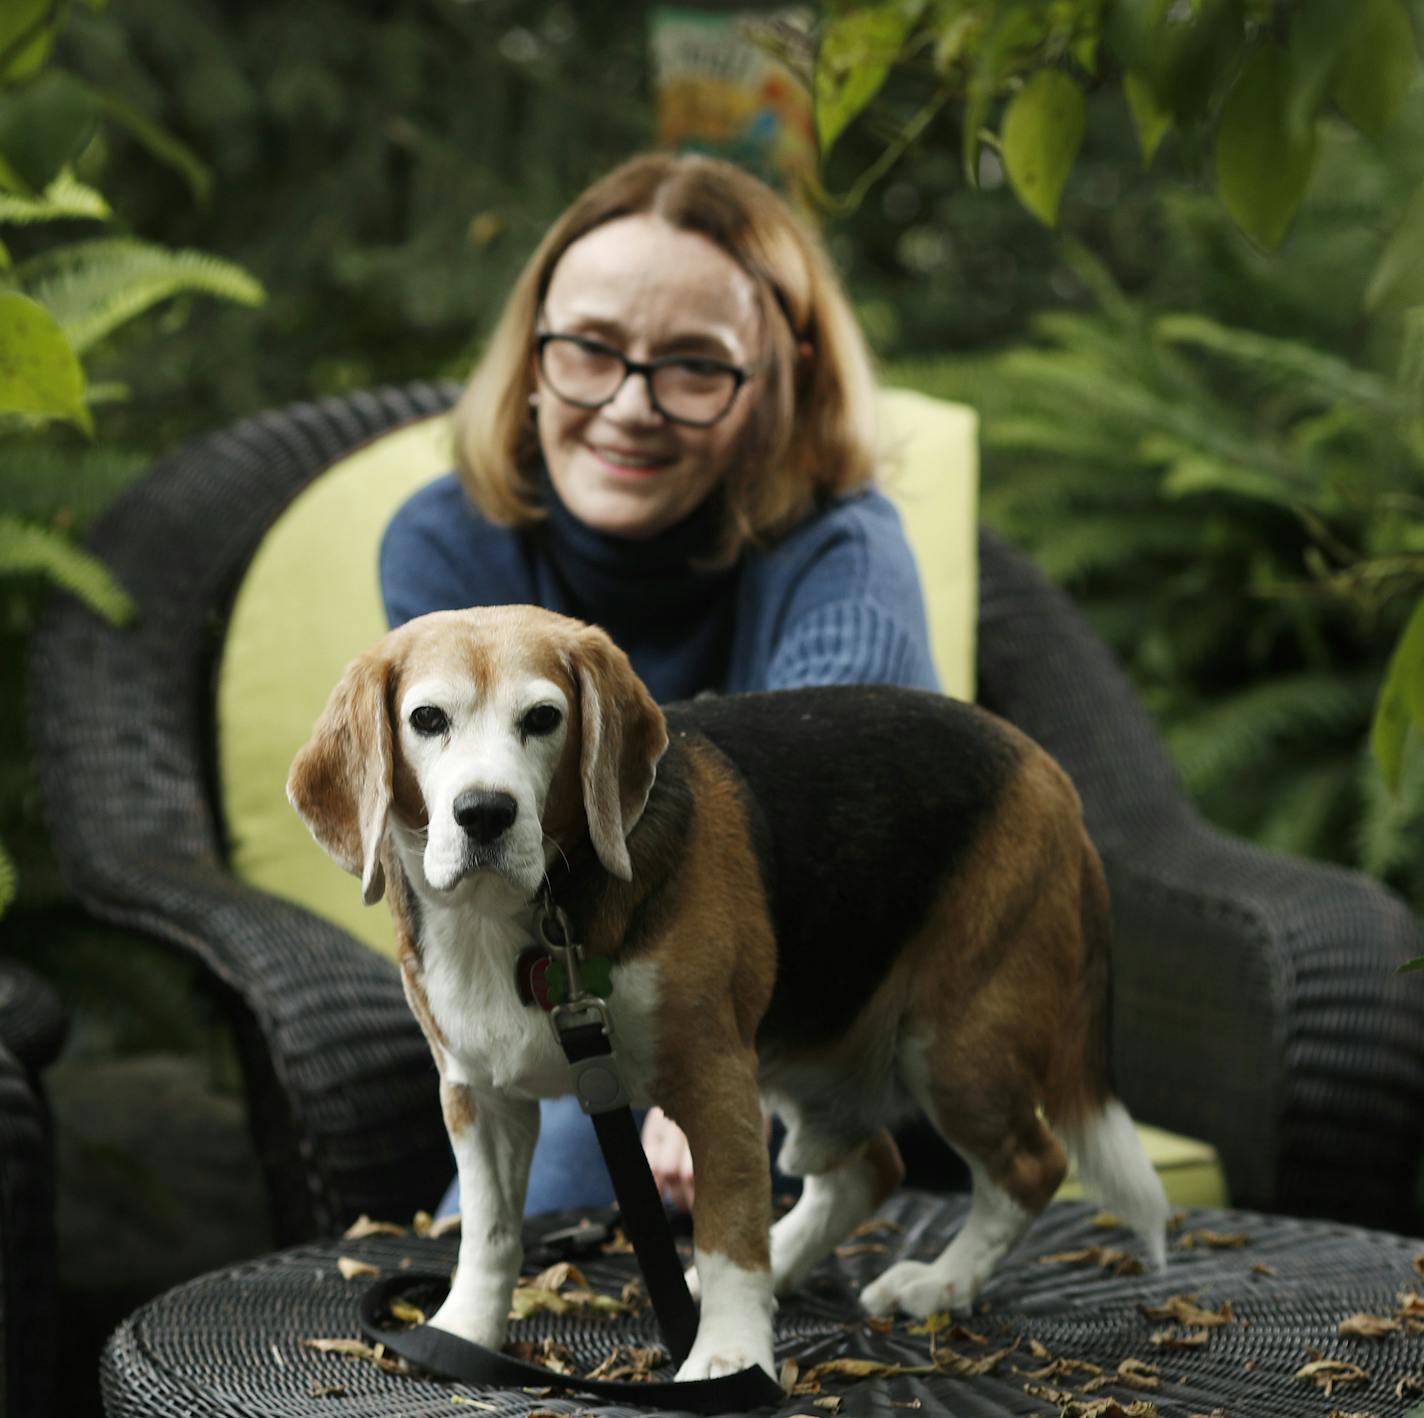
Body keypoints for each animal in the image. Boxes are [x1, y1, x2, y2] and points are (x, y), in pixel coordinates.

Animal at [289, 603, 1167, 1378]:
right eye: (427, 719)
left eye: (541, 718)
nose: (484, 814)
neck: (524, 917)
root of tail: (1049, 774)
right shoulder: (479, 1097)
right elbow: (490, 1232)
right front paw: (463, 1332)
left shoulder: (715, 1084)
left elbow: (728, 1230)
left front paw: (731, 1356)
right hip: (810, 1054)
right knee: (869, 1166)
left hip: (953, 1046)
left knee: (1031, 1165)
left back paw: (941, 1282)